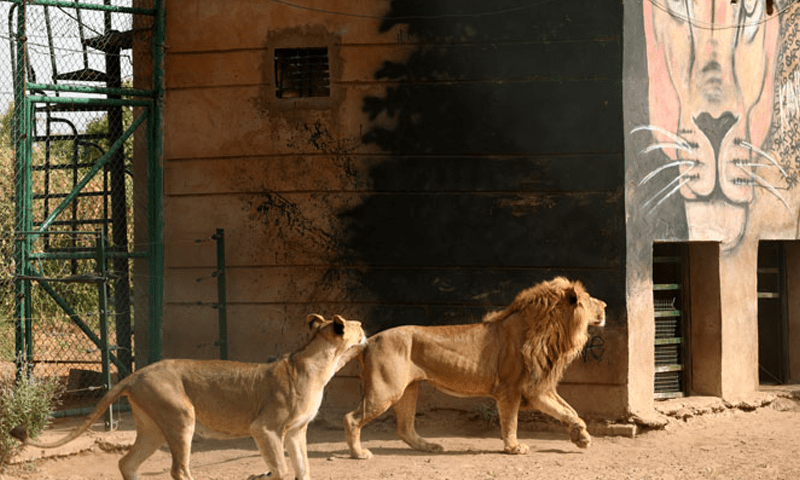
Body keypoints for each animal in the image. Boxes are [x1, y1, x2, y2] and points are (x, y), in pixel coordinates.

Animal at [11, 314, 366, 480]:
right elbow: (279, 468)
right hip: (181, 418)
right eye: (359, 327)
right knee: (179, 470)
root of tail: (138, 372)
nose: (367, 331)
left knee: (127, 462)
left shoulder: (296, 431)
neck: (321, 366)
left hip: (154, 428)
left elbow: (303, 468)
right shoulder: (265, 428)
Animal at [343, 277, 606, 458]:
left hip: (408, 389)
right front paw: (513, 447)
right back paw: (359, 453)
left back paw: (430, 446)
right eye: (590, 298)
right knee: (352, 418)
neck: (552, 331)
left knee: (404, 428)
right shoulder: (511, 389)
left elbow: (569, 410)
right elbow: (511, 421)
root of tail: (370, 340)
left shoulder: (536, 388)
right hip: (386, 389)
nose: (605, 304)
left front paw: (582, 437)